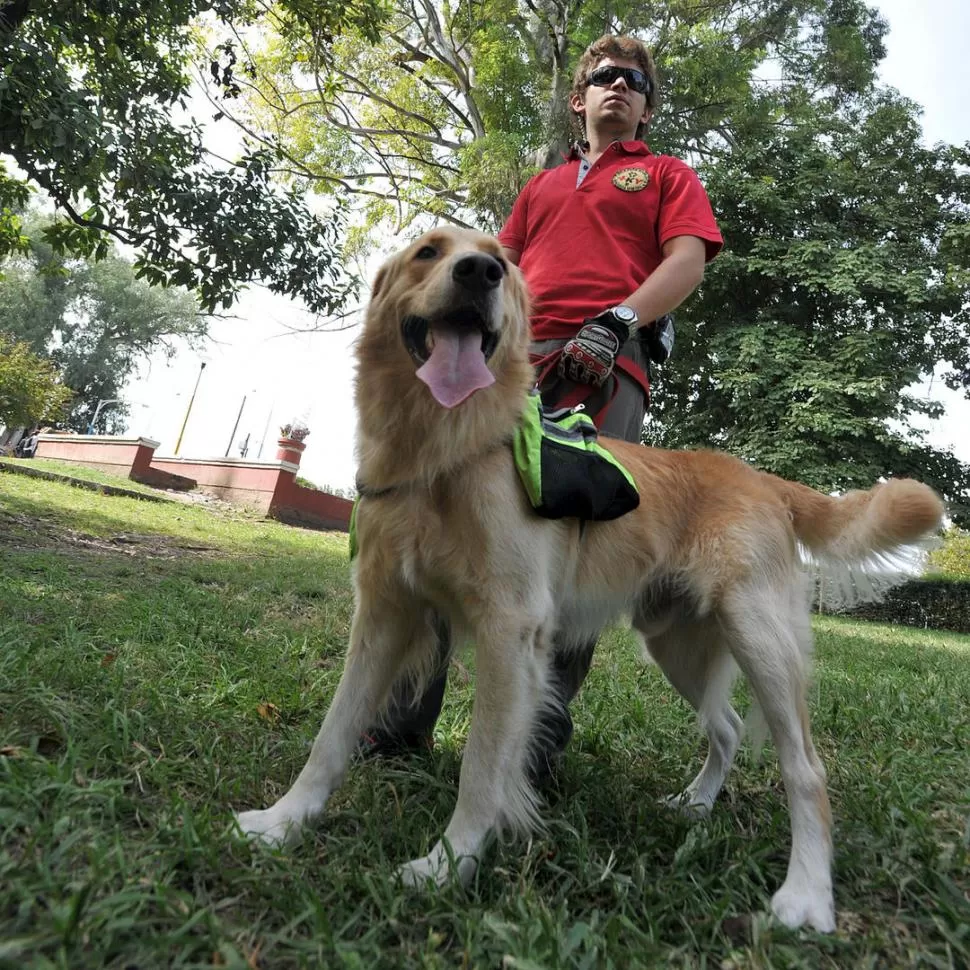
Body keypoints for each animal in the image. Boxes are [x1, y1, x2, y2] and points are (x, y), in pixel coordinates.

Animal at [236, 225, 944, 932]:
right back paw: (695, 805)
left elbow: (482, 767)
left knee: (806, 770)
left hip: (759, 637)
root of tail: (764, 479)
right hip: (677, 643)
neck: (444, 449)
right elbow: (332, 735)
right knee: (727, 728)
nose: (480, 273)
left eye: (501, 260)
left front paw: (447, 865)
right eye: (428, 252)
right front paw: (283, 823)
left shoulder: (510, 630)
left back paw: (805, 896)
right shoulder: (384, 615)